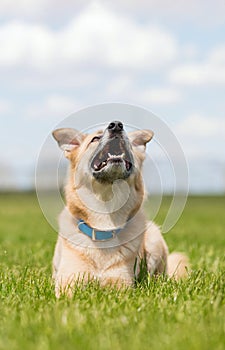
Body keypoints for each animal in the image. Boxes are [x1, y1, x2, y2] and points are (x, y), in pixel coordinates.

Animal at [51, 121, 188, 298]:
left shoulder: (121, 282)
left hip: (154, 239)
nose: (116, 125)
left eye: (128, 140)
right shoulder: (68, 279)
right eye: (95, 138)